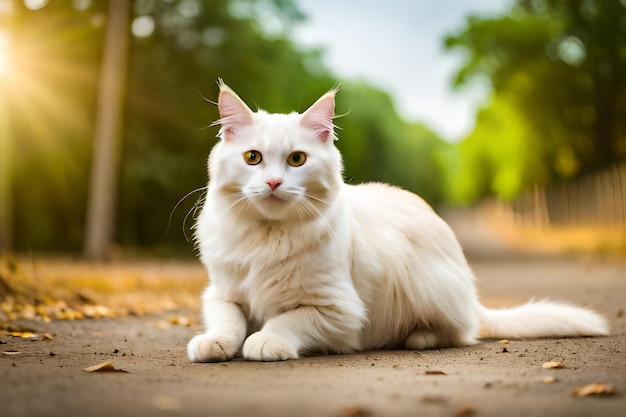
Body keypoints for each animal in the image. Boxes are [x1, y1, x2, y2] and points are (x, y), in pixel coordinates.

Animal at [185, 80, 604, 360]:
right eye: (253, 158)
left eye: (297, 160)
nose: (273, 182)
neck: (266, 236)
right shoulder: (221, 293)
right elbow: (228, 321)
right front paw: (213, 344)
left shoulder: (337, 310)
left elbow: (285, 322)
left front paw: (265, 342)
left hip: (430, 286)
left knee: (461, 331)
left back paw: (419, 338)